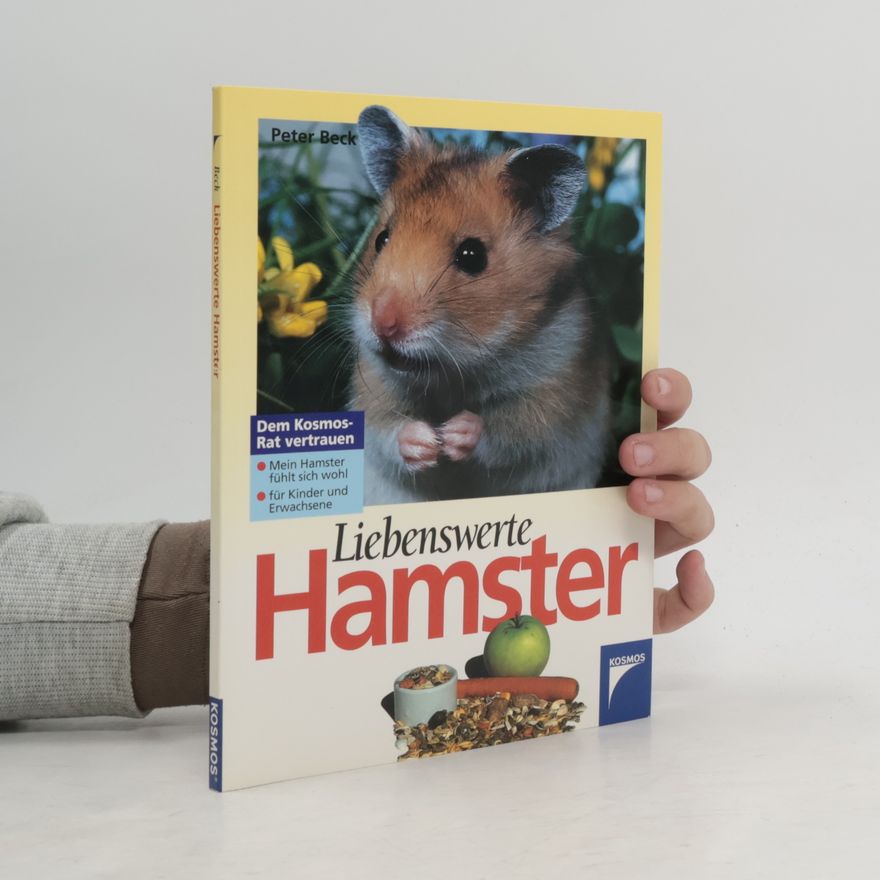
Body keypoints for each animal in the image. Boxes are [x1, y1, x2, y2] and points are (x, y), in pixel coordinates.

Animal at [350, 106, 611, 506]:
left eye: (472, 256)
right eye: (381, 239)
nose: (383, 324)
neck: (454, 372)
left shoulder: (556, 394)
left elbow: (512, 429)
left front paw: (453, 435)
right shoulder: (373, 389)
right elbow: (386, 428)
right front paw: (427, 443)